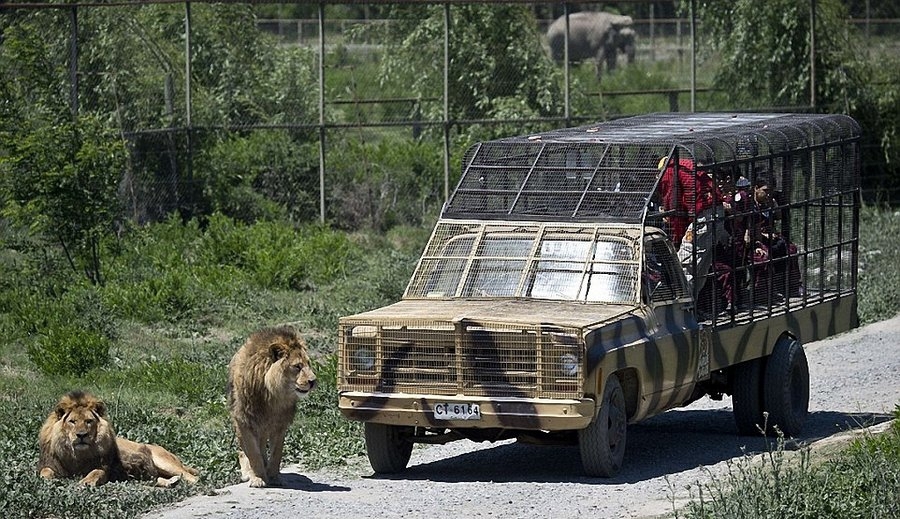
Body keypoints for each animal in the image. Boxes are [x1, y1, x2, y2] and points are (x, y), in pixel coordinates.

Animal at [38, 390, 199, 488]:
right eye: (72, 421)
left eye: (89, 421)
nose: (81, 435)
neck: (78, 455)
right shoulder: (51, 464)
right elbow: (45, 472)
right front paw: (47, 480)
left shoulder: (105, 467)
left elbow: (96, 472)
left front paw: (86, 482)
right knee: (158, 478)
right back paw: (171, 482)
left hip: (163, 461)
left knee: (191, 476)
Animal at [227, 324, 318, 488]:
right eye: (297, 366)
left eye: (309, 364)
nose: (313, 381)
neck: (273, 396)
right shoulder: (244, 421)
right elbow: (253, 453)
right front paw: (258, 478)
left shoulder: (280, 424)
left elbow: (276, 453)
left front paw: (274, 477)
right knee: (242, 451)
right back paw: (248, 473)